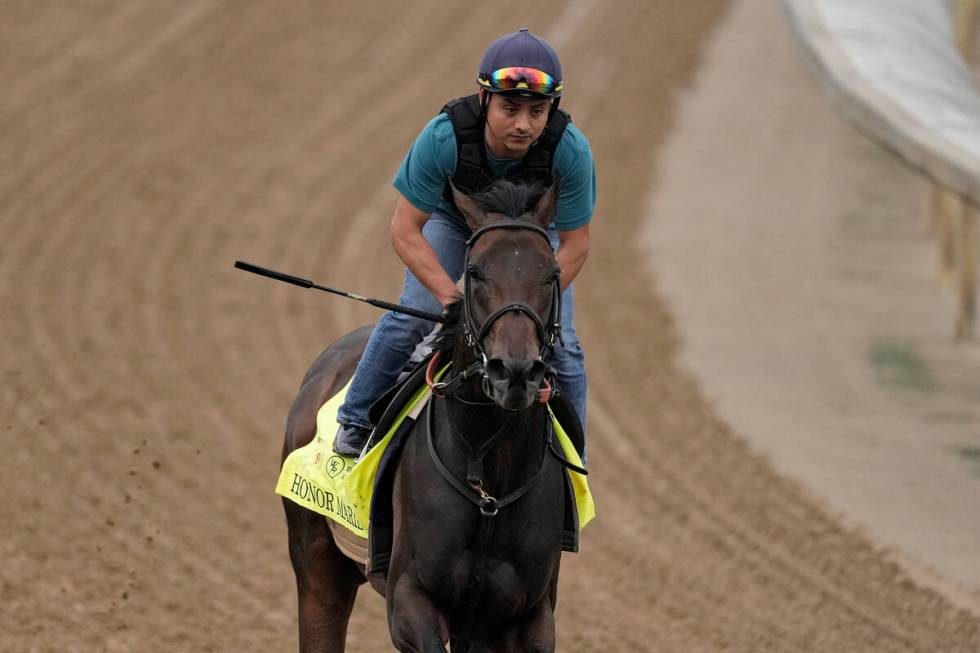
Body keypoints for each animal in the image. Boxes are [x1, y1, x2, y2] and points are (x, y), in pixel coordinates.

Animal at [282, 180, 576, 652]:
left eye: (552, 274)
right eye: (474, 272)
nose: (513, 371)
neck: (489, 480)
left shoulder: (525, 615)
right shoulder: (409, 596)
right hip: (316, 560)